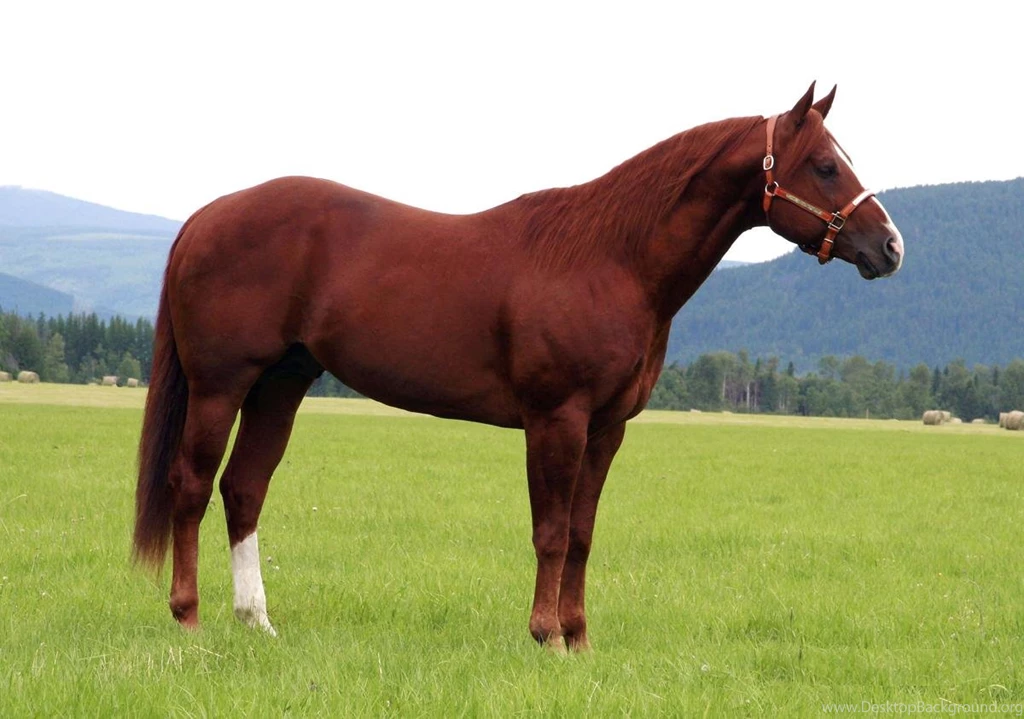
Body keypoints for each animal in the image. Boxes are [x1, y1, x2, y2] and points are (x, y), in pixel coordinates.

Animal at [133, 83, 904, 651]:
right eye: (826, 165)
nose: (890, 246)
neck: (610, 258)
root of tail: (204, 217)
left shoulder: (607, 428)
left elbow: (583, 533)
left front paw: (579, 636)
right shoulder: (556, 418)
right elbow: (551, 530)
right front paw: (545, 636)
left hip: (281, 385)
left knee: (244, 489)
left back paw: (257, 622)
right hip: (221, 385)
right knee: (192, 484)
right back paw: (189, 617)